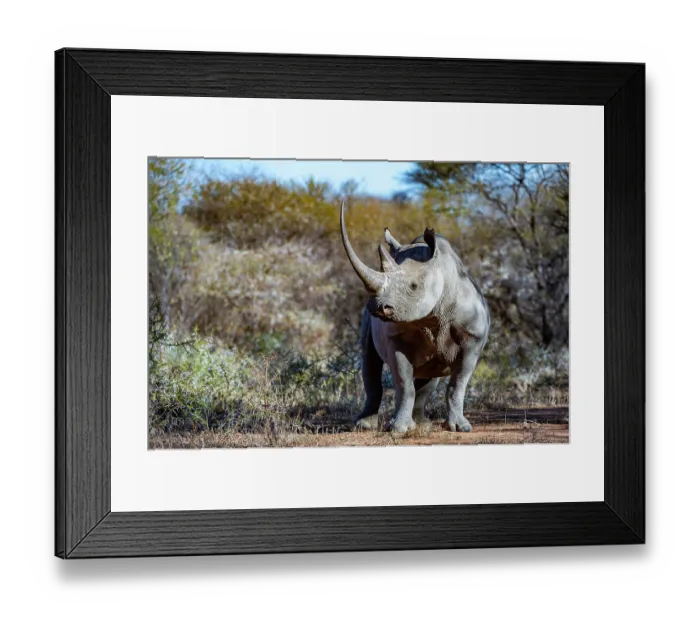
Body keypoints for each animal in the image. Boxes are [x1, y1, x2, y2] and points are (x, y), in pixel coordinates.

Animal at [340, 202, 490, 433]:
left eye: (413, 286)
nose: (377, 307)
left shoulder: (473, 338)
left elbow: (457, 384)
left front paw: (460, 428)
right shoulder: (395, 337)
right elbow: (404, 383)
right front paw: (398, 429)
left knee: (429, 375)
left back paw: (422, 423)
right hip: (366, 321)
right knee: (370, 359)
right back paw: (365, 425)